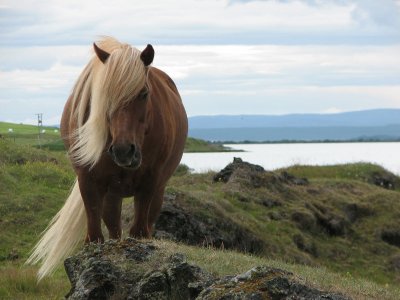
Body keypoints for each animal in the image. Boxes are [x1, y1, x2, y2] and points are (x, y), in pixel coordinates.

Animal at [27, 36, 189, 280]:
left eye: (144, 93)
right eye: (104, 96)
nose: (123, 151)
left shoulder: (150, 182)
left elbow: (139, 233)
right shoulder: (88, 181)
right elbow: (95, 238)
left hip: (156, 190)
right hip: (112, 194)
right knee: (113, 228)